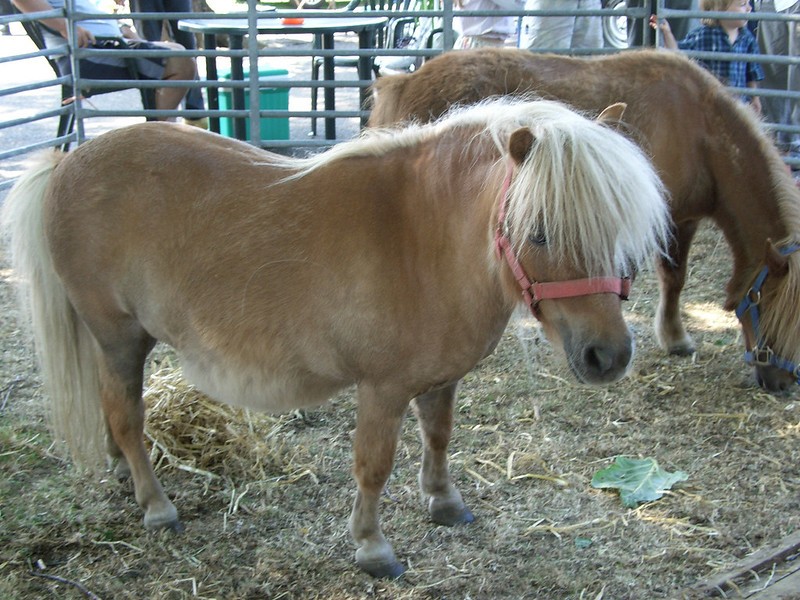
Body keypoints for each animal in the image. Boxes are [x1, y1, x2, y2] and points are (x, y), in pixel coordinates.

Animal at [2, 98, 669, 578]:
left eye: (617, 227)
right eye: (540, 232)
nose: (608, 356)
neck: (423, 239)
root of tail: (68, 161)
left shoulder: (440, 379)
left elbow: (439, 437)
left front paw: (444, 502)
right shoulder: (381, 389)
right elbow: (373, 466)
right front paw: (373, 548)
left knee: (115, 412)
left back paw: (124, 477)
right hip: (119, 336)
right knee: (126, 417)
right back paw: (157, 506)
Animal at [369, 48, 800, 393]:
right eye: (766, 304)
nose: (782, 384)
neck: (698, 127)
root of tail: (405, 80)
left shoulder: (678, 219)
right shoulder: (668, 221)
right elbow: (671, 277)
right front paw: (674, 338)